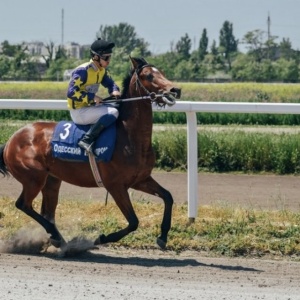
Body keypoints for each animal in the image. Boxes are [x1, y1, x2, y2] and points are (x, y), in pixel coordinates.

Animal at [0, 57, 180, 250]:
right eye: (148, 75)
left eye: (161, 72)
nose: (175, 90)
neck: (130, 137)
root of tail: (11, 140)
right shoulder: (116, 185)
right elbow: (133, 222)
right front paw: (102, 238)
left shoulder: (140, 179)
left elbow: (168, 197)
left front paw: (163, 237)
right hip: (33, 179)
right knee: (23, 204)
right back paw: (56, 235)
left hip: (52, 180)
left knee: (47, 211)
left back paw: (58, 239)